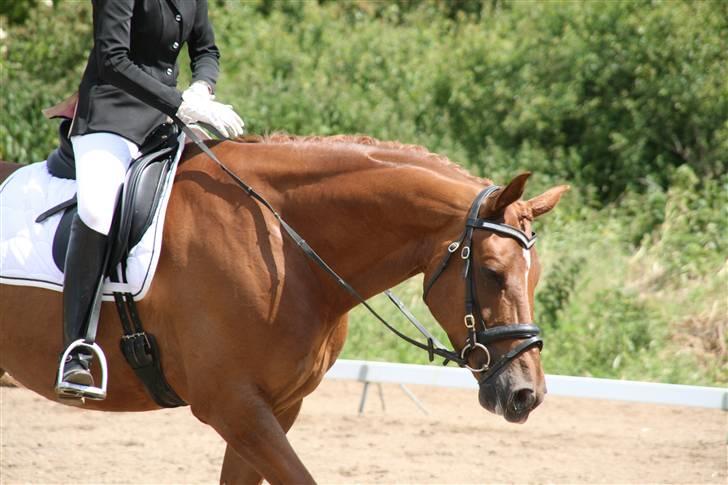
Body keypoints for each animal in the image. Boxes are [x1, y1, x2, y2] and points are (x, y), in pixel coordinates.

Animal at [0, 136, 568, 484]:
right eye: (492, 272)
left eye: (535, 275)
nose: (526, 394)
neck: (286, 246)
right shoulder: (233, 406)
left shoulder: (274, 407)